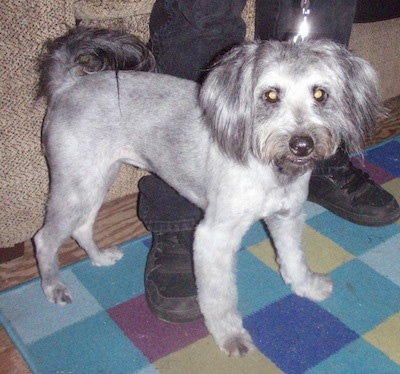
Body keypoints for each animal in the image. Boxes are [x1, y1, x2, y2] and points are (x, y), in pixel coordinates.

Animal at [36, 27, 382, 356]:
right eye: (270, 95)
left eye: (320, 93)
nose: (302, 144)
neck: (270, 170)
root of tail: (68, 84)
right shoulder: (213, 236)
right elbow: (219, 296)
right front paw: (230, 337)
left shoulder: (287, 216)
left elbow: (294, 258)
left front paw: (307, 286)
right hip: (76, 186)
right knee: (44, 239)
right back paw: (54, 287)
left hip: (95, 181)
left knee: (81, 227)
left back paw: (100, 257)